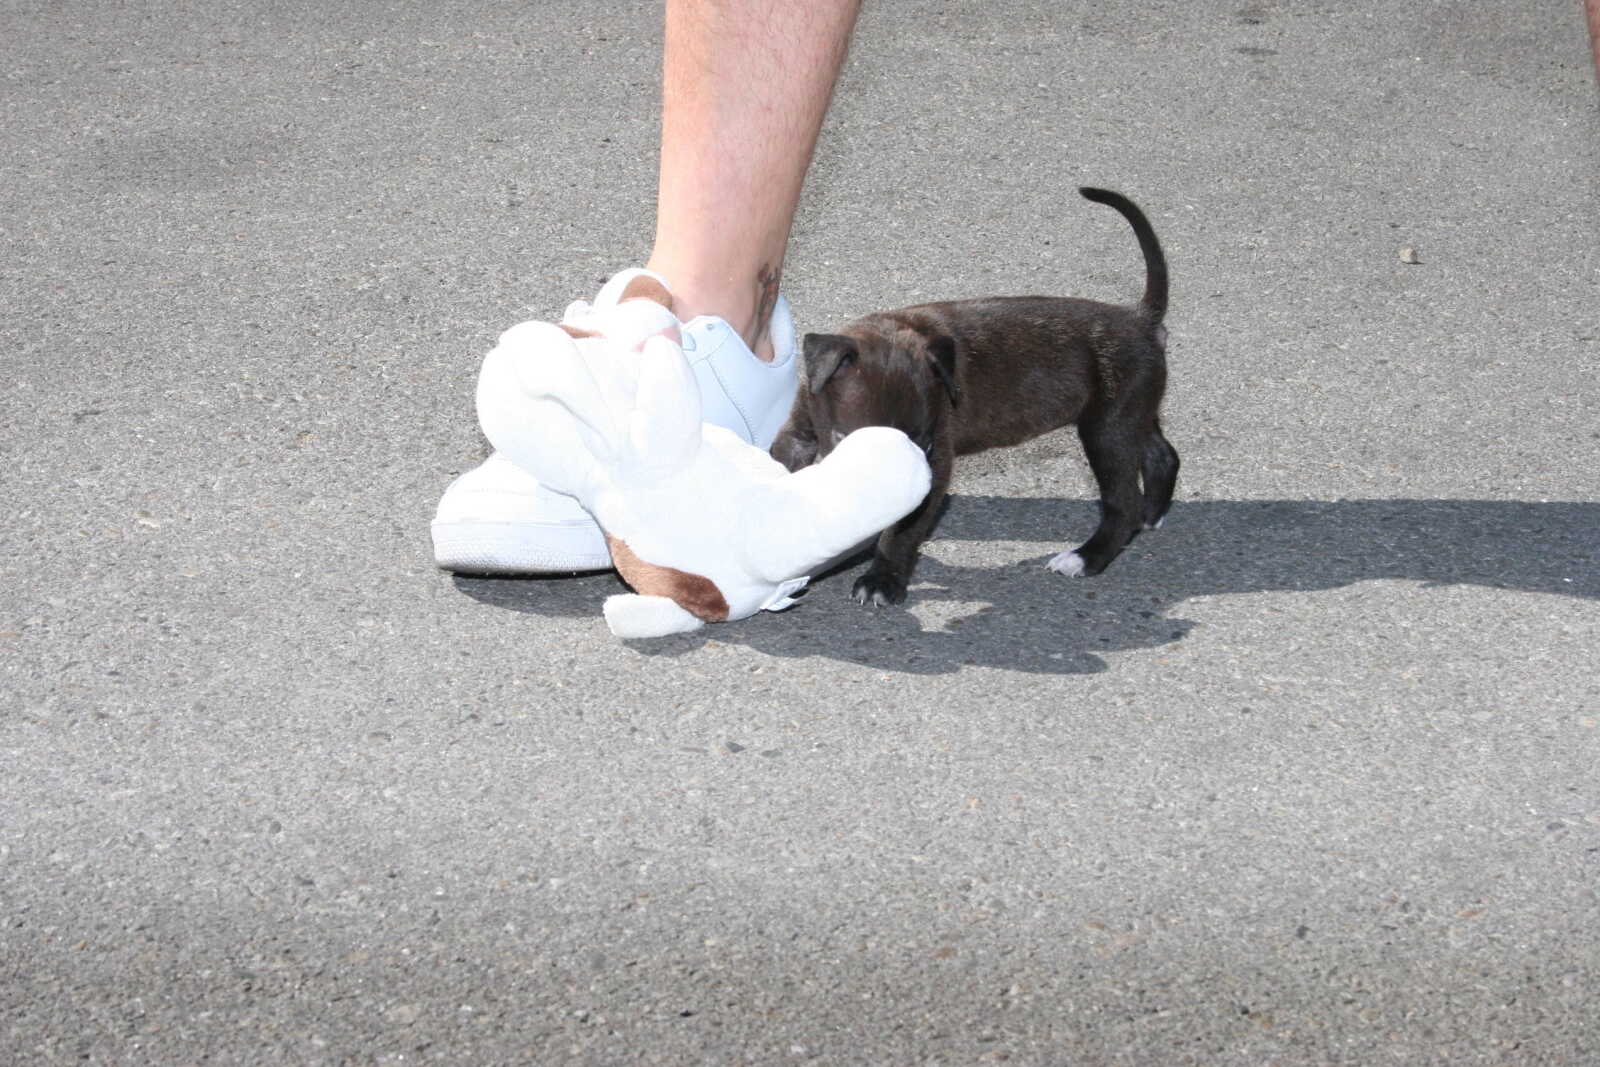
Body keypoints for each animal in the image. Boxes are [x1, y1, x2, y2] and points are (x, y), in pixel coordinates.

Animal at [769, 187, 1179, 607]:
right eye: (844, 440)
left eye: (925, 444)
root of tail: (1142, 319)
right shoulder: (799, 432)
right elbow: (778, 468)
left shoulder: (938, 466)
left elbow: (903, 533)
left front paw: (882, 579)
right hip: (1129, 411)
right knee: (1161, 454)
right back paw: (1151, 515)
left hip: (1106, 429)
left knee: (1123, 501)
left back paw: (1086, 557)